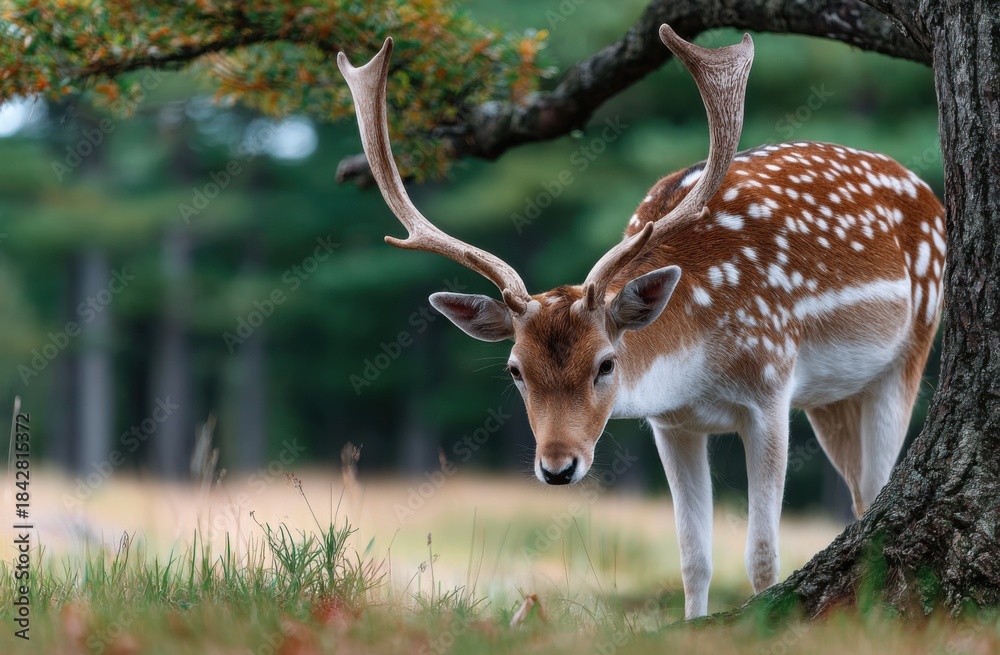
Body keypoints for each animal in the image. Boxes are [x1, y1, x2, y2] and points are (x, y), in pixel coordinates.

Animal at [337, 24, 945, 618]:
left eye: (607, 363)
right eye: (515, 369)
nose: (557, 467)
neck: (698, 363)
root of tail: (932, 195)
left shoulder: (771, 388)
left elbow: (762, 557)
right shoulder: (671, 424)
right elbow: (693, 557)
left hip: (912, 345)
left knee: (877, 483)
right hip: (832, 398)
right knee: (861, 497)